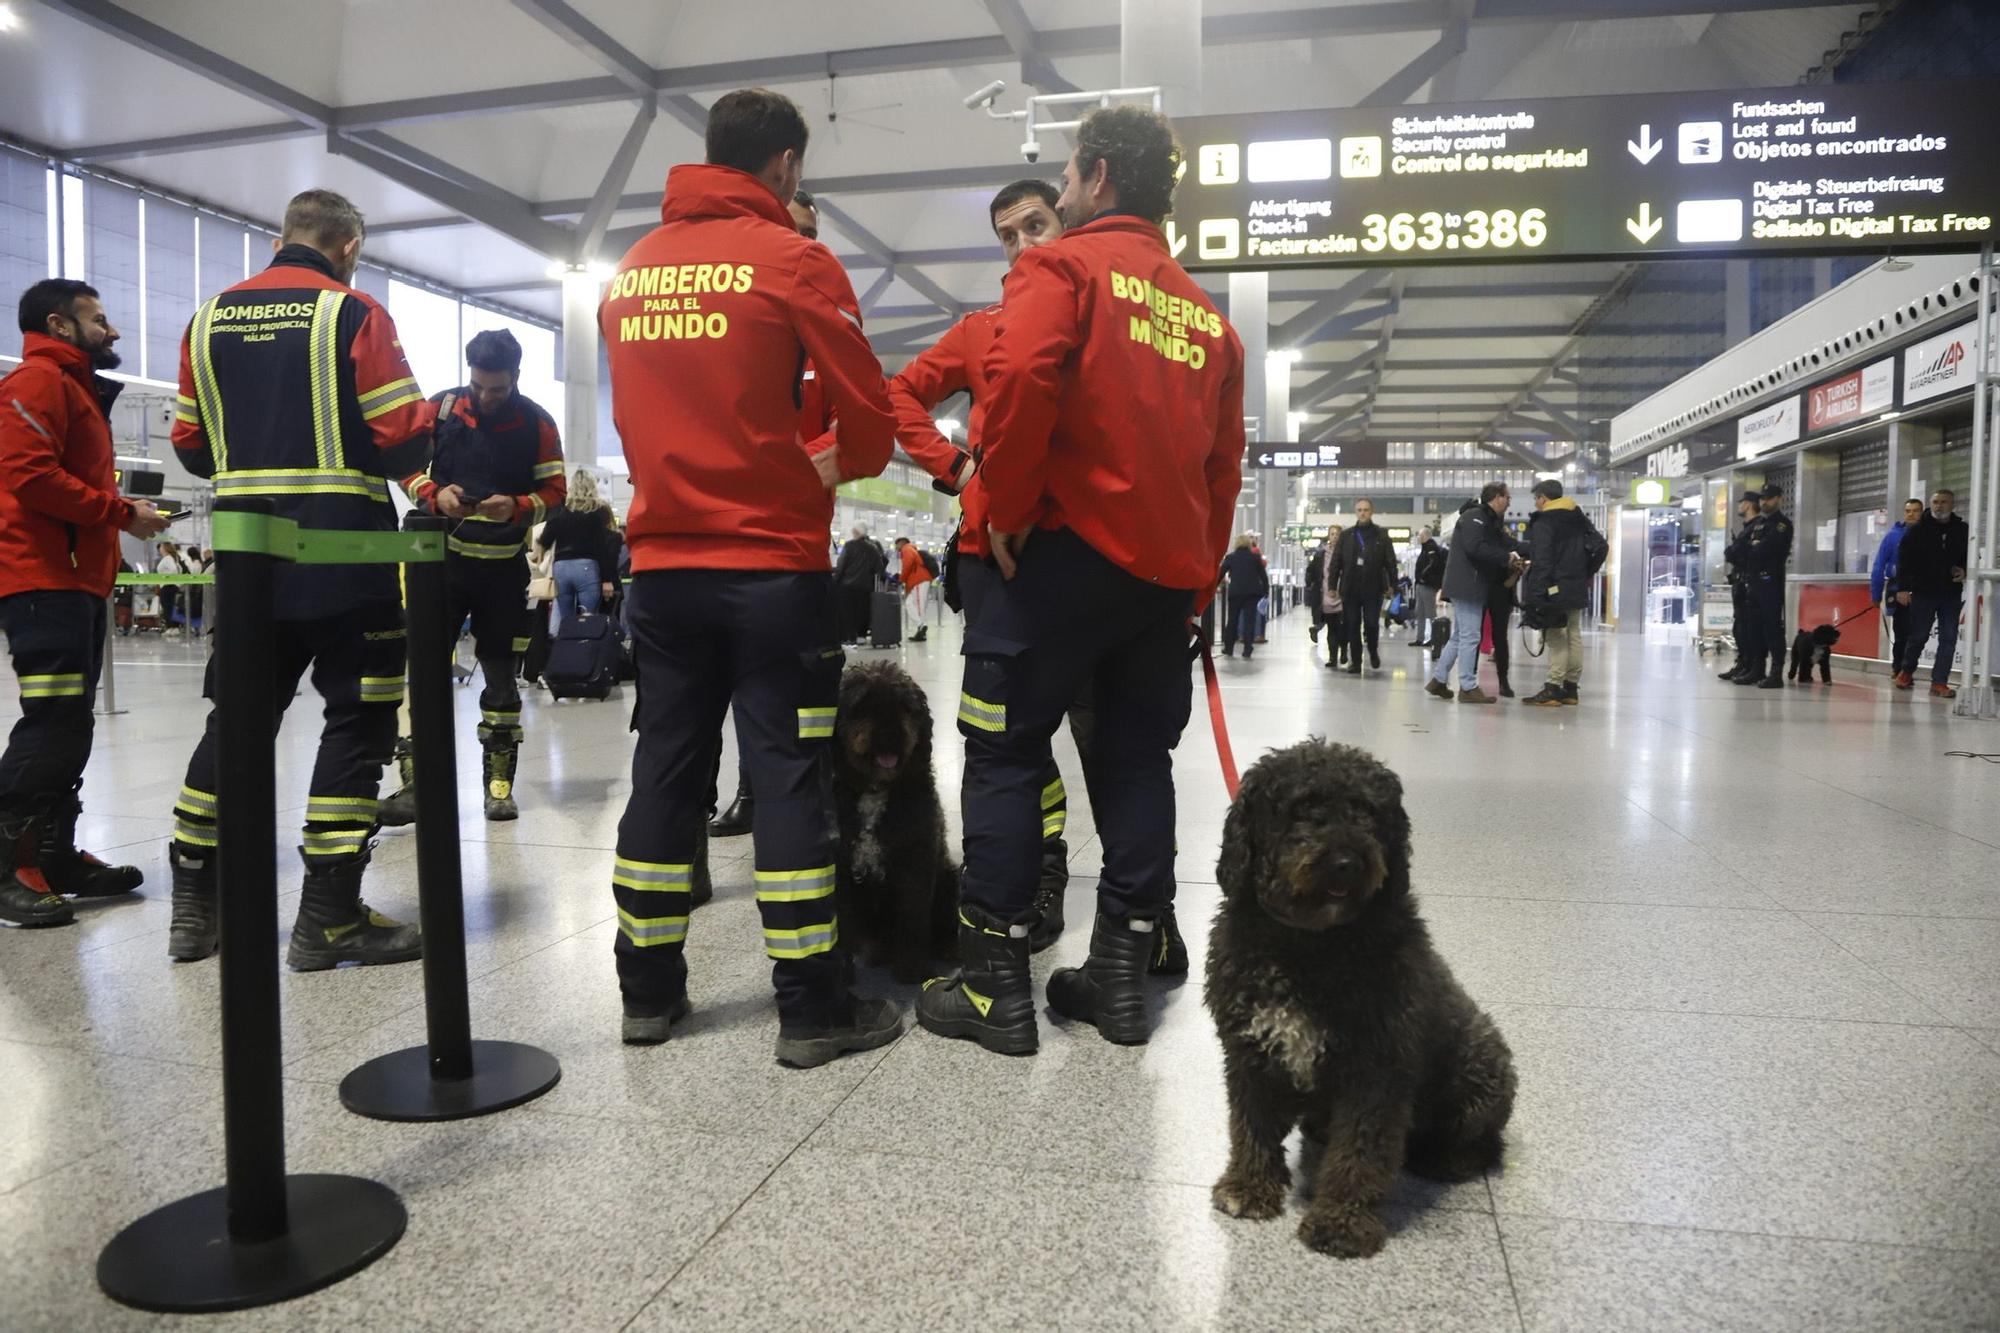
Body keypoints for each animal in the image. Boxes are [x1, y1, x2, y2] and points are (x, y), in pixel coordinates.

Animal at [828, 660, 952, 980]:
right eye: (862, 706)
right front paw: (841, 973)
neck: (874, 790)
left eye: (905, 706)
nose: (890, 734)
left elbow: (912, 919)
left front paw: (911, 969)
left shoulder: (914, 865)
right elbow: (842, 922)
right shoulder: (841, 870)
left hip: (949, 880)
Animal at [1200, 736, 1512, 1256]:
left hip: (1481, 1065)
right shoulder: (1249, 1052)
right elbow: (1252, 1127)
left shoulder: (1377, 1071)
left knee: (1487, 1143)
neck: (1309, 946)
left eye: (1367, 810)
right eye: (1303, 808)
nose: (1347, 862)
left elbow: (1360, 1155)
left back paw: (1448, 1158)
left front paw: (1342, 1221)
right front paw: (1249, 1187)